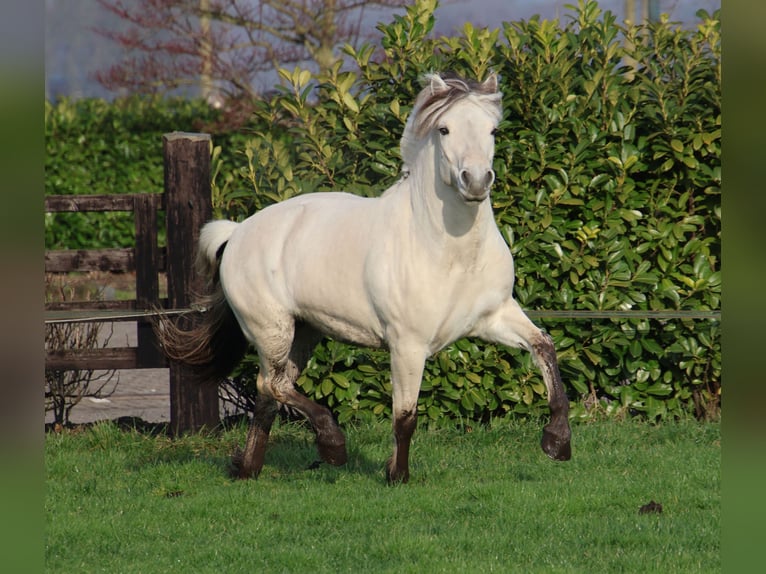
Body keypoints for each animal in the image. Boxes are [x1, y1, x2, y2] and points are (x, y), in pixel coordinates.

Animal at [158, 72, 571, 483]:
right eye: (444, 129)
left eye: (493, 130)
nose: (476, 181)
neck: (449, 252)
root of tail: (237, 232)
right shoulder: (407, 345)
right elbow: (405, 416)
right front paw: (396, 475)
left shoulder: (495, 316)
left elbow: (545, 347)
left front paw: (557, 443)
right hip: (271, 328)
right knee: (271, 384)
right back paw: (331, 445)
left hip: (304, 332)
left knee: (269, 394)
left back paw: (248, 468)